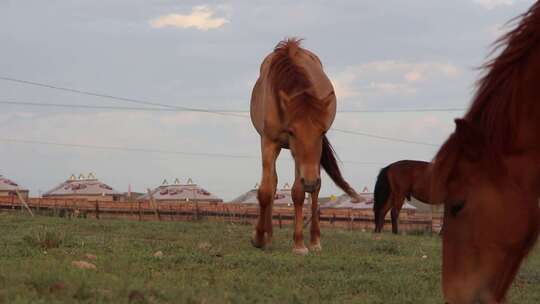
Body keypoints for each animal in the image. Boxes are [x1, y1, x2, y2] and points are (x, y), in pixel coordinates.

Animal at [251, 39, 360, 255]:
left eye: (322, 132)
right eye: (292, 132)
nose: (310, 181)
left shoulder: (304, 159)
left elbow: (299, 193)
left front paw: (299, 244)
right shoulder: (268, 142)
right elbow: (266, 191)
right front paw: (259, 238)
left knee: (313, 193)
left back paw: (314, 240)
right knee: (275, 183)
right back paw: (269, 237)